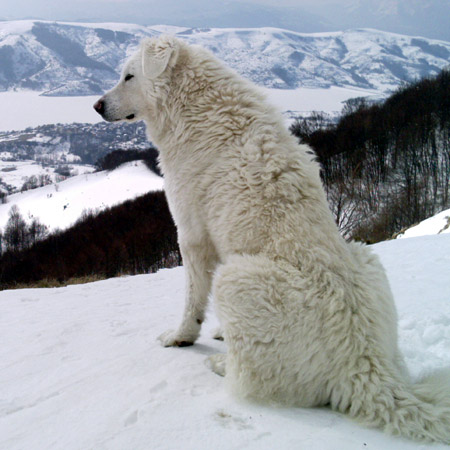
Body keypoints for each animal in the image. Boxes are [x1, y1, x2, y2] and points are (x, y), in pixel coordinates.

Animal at [95, 35, 450, 442]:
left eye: (129, 76)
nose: (97, 105)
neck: (193, 107)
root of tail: (363, 365)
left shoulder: (192, 234)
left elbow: (192, 299)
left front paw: (181, 336)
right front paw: (215, 332)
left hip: (235, 278)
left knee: (251, 381)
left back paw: (221, 364)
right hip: (367, 258)